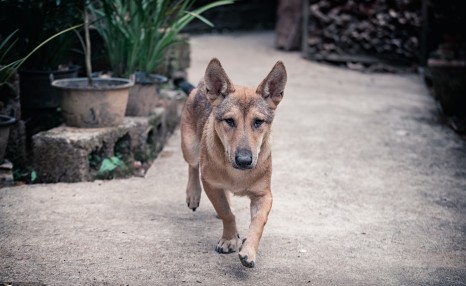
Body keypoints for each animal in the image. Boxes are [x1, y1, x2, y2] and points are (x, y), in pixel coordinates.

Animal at [180, 57, 286, 268]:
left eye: (258, 122)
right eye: (229, 121)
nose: (244, 160)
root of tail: (201, 86)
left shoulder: (264, 195)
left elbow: (258, 222)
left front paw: (248, 250)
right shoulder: (210, 184)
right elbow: (226, 213)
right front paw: (229, 240)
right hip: (189, 147)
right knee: (193, 166)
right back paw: (193, 194)